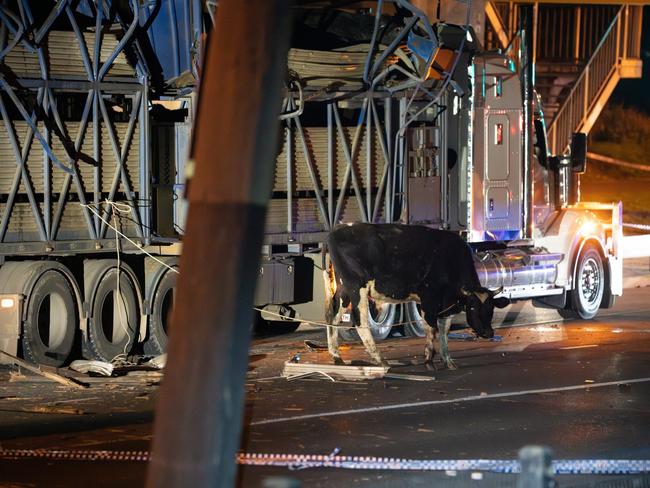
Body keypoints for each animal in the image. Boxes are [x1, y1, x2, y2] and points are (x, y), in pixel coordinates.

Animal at [324, 223, 506, 368]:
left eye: (491, 308)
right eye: (473, 307)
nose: (489, 333)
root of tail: (336, 231)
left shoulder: (446, 304)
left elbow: (444, 331)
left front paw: (448, 361)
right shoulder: (429, 299)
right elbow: (431, 329)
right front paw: (429, 360)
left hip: (343, 290)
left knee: (332, 316)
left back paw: (336, 356)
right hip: (356, 287)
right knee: (360, 321)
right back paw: (380, 360)